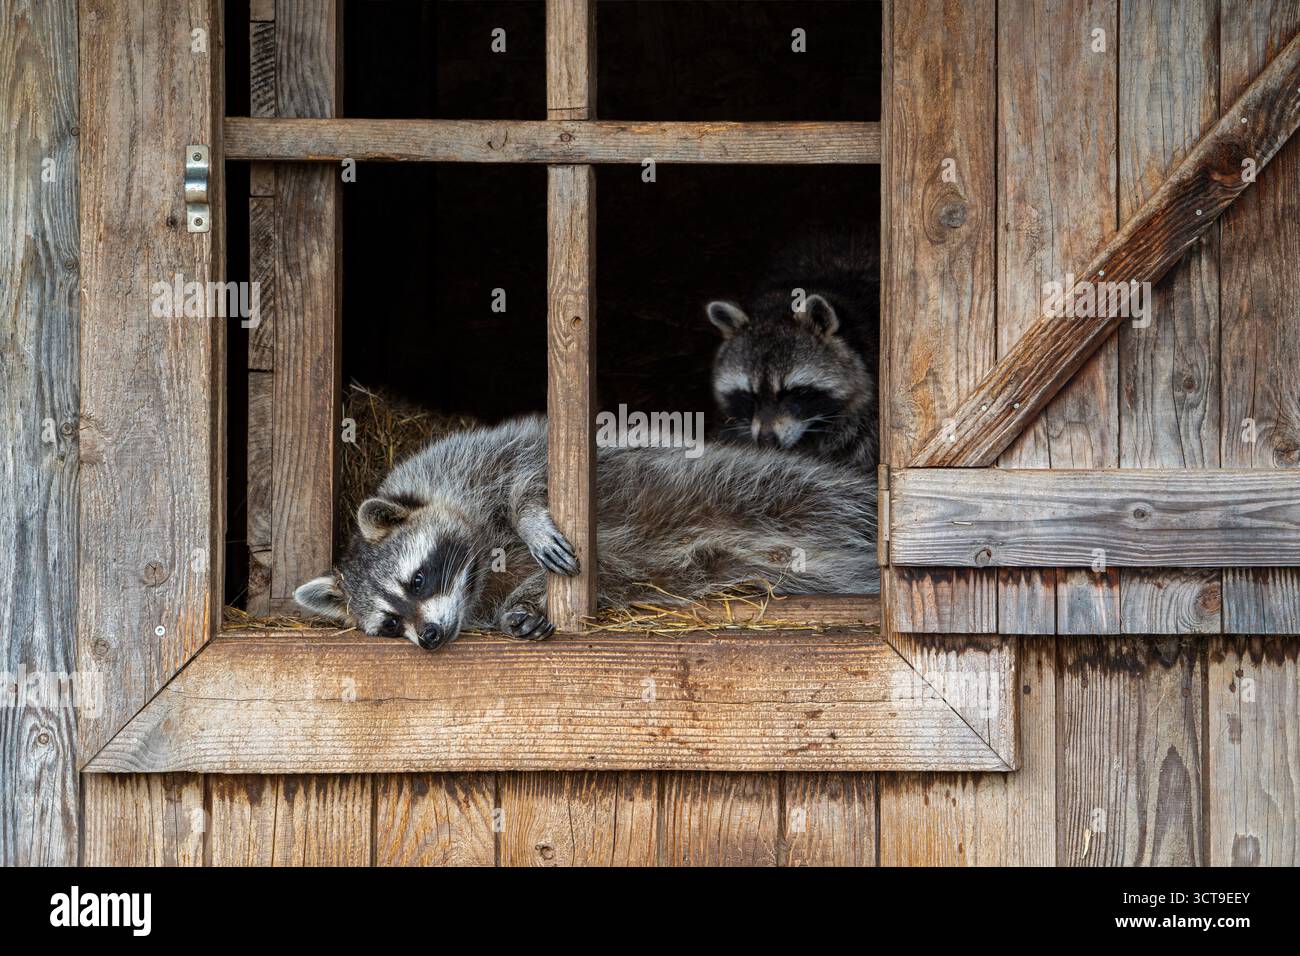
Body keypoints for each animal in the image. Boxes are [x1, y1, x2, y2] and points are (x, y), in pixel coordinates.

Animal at [295, 415, 878, 650]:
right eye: (391, 624)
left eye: (416, 581)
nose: (431, 637)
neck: (480, 567)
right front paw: (519, 610)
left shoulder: (475, 457)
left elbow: (533, 467)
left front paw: (529, 515)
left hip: (754, 485)